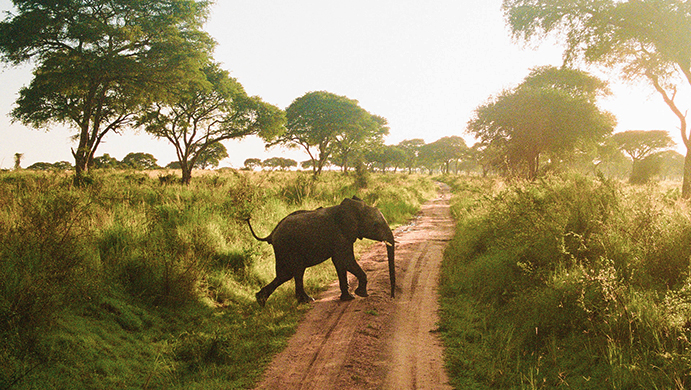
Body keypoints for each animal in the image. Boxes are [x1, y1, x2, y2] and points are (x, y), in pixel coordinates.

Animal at [247, 197, 394, 306]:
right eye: (375, 225)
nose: (392, 297)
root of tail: (271, 233)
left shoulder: (344, 236)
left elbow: (340, 263)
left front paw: (348, 297)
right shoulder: (340, 235)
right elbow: (345, 260)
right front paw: (361, 294)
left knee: (286, 274)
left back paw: (261, 301)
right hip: (286, 246)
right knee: (294, 272)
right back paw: (305, 300)